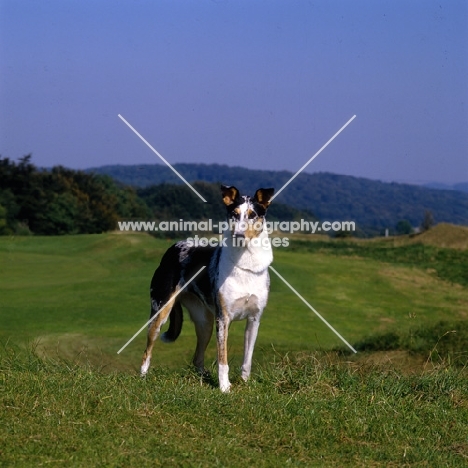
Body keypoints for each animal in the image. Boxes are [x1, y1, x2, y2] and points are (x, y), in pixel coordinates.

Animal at [141, 185, 276, 394]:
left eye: (253, 215)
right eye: (234, 214)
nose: (239, 236)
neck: (245, 262)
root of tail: (173, 247)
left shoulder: (254, 319)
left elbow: (247, 358)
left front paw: (244, 382)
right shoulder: (223, 319)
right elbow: (223, 358)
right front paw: (224, 387)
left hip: (205, 324)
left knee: (197, 358)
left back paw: (203, 377)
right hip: (160, 312)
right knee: (147, 351)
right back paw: (143, 377)